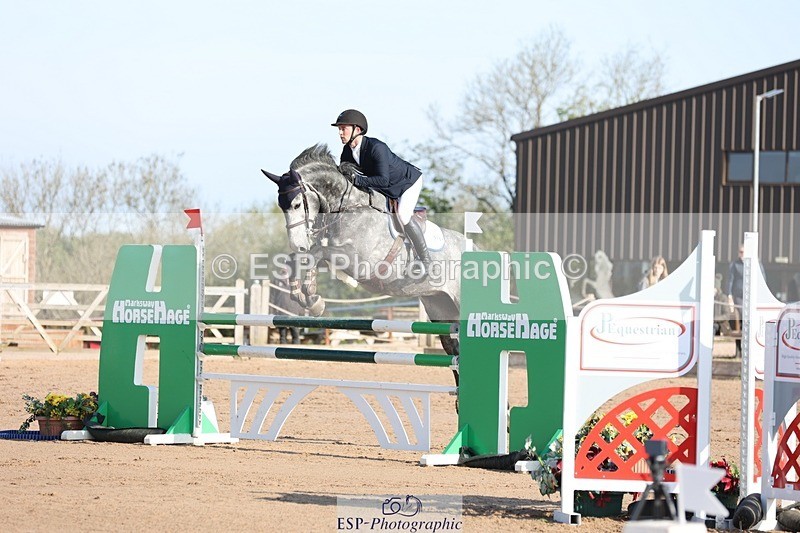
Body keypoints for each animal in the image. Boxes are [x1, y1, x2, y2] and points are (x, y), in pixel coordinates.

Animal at [262, 144, 465, 359]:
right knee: (453, 346)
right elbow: (300, 258)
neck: (350, 208)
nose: (297, 244)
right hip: (440, 306)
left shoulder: (359, 262)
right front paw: (302, 296)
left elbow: (316, 253)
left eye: (297, 205)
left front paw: (311, 296)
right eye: (281, 206)